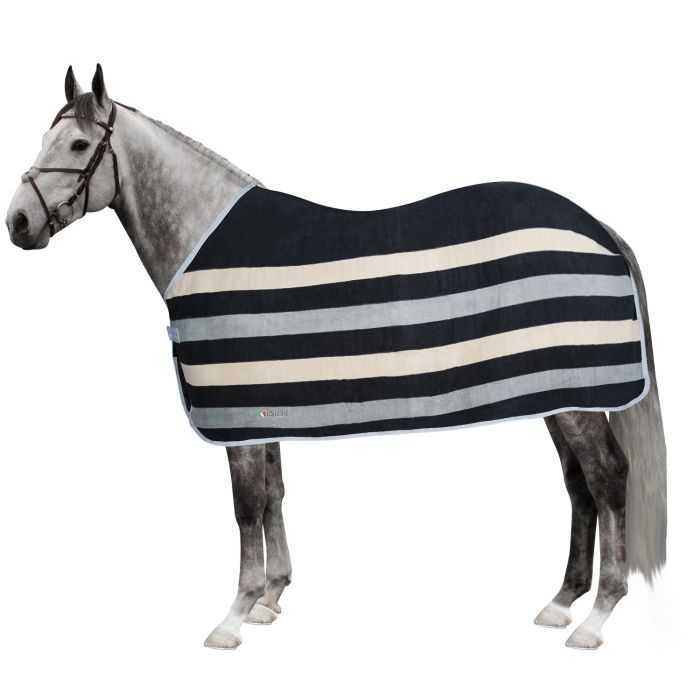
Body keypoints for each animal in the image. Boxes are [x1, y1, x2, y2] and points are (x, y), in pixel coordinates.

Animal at [5, 65, 666, 651]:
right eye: (45, 138)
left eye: (79, 143)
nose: (18, 223)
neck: (201, 242)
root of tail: (596, 226)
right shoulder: (261, 409)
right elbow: (273, 495)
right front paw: (271, 598)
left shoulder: (238, 413)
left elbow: (246, 508)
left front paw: (233, 618)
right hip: (558, 393)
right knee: (579, 485)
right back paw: (562, 602)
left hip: (578, 396)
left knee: (608, 478)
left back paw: (596, 618)